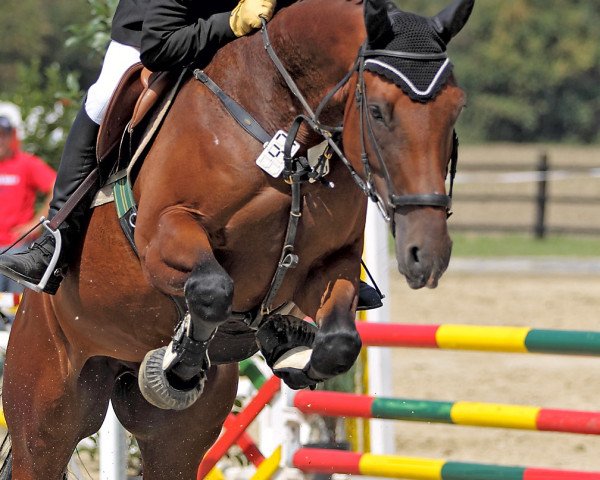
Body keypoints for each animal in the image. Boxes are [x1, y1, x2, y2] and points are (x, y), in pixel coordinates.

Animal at [0, 0, 472, 478]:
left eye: (456, 110)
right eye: (377, 111)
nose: (427, 255)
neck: (287, 133)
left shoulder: (330, 264)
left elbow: (339, 341)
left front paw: (287, 347)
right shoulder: (163, 235)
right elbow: (212, 288)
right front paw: (180, 362)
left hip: (176, 440)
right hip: (46, 415)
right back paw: (39, 260)